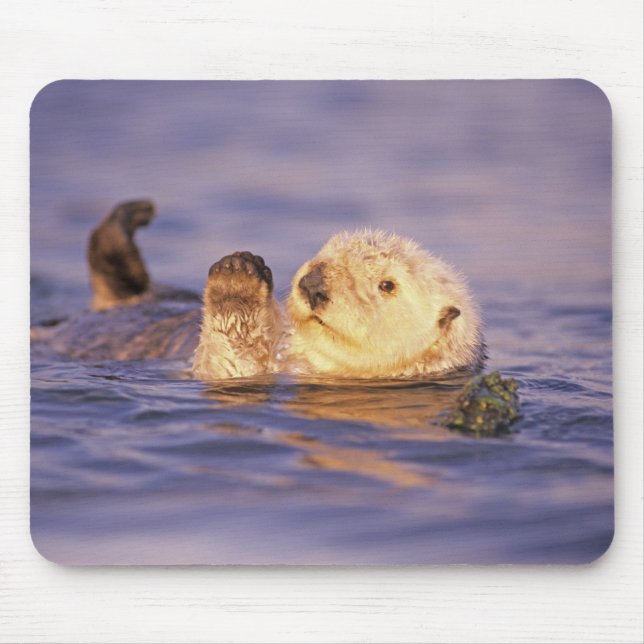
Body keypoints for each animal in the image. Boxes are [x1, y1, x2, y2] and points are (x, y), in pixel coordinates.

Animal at [32, 200, 484, 378]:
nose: (313, 282)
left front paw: (237, 278)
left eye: (387, 285)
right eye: (325, 252)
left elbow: (229, 360)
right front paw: (240, 263)